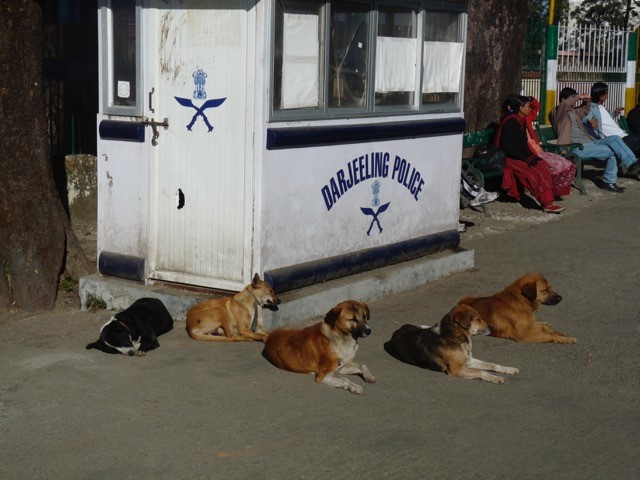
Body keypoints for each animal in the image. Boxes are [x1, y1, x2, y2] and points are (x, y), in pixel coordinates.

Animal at [382, 306, 516, 384]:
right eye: (477, 319)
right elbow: (481, 372)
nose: (492, 328)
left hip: (423, 326)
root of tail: (397, 330)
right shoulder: (456, 369)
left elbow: (492, 364)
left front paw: (509, 369)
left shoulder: (469, 361)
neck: (454, 338)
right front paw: (495, 378)